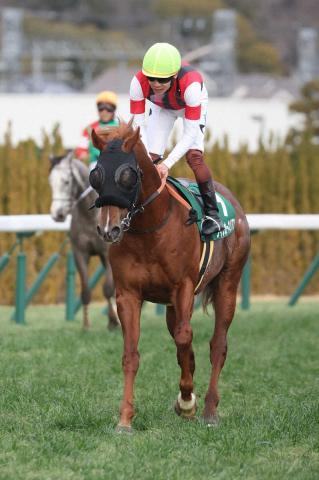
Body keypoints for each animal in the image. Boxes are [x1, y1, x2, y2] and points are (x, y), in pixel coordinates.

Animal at [47, 152, 117, 328]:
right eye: (50, 182)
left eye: (66, 181)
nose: (57, 214)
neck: (90, 216)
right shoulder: (80, 253)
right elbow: (86, 290)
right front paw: (86, 325)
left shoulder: (108, 253)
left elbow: (108, 288)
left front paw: (115, 320)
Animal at [89, 123, 251, 432]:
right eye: (96, 175)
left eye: (127, 175)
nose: (108, 229)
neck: (150, 227)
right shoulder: (128, 294)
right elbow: (132, 354)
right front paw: (125, 419)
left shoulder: (184, 286)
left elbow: (186, 337)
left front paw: (188, 401)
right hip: (171, 306)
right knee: (183, 344)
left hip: (227, 282)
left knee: (217, 345)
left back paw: (209, 410)